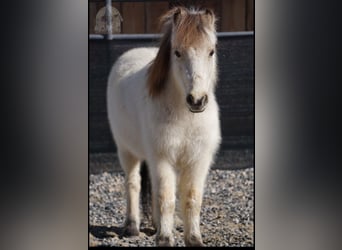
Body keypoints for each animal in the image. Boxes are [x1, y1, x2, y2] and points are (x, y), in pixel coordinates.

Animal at [106, 6, 222, 246]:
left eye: (211, 51)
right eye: (177, 52)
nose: (197, 100)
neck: (186, 116)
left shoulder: (198, 161)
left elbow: (191, 199)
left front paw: (193, 238)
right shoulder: (162, 159)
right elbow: (166, 198)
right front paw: (165, 239)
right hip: (127, 151)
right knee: (133, 183)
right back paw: (132, 227)